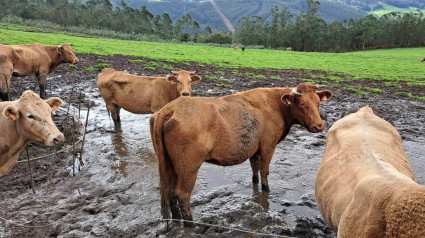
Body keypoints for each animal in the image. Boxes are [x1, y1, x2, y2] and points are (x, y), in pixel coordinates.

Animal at [151, 82, 332, 226]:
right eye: (301, 103)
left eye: (317, 103)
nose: (319, 126)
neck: (276, 105)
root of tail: (170, 108)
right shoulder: (268, 145)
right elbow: (264, 170)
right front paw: (266, 190)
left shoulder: (254, 148)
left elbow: (255, 168)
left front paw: (255, 183)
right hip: (189, 166)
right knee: (182, 194)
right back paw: (190, 224)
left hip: (168, 164)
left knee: (169, 191)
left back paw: (176, 220)